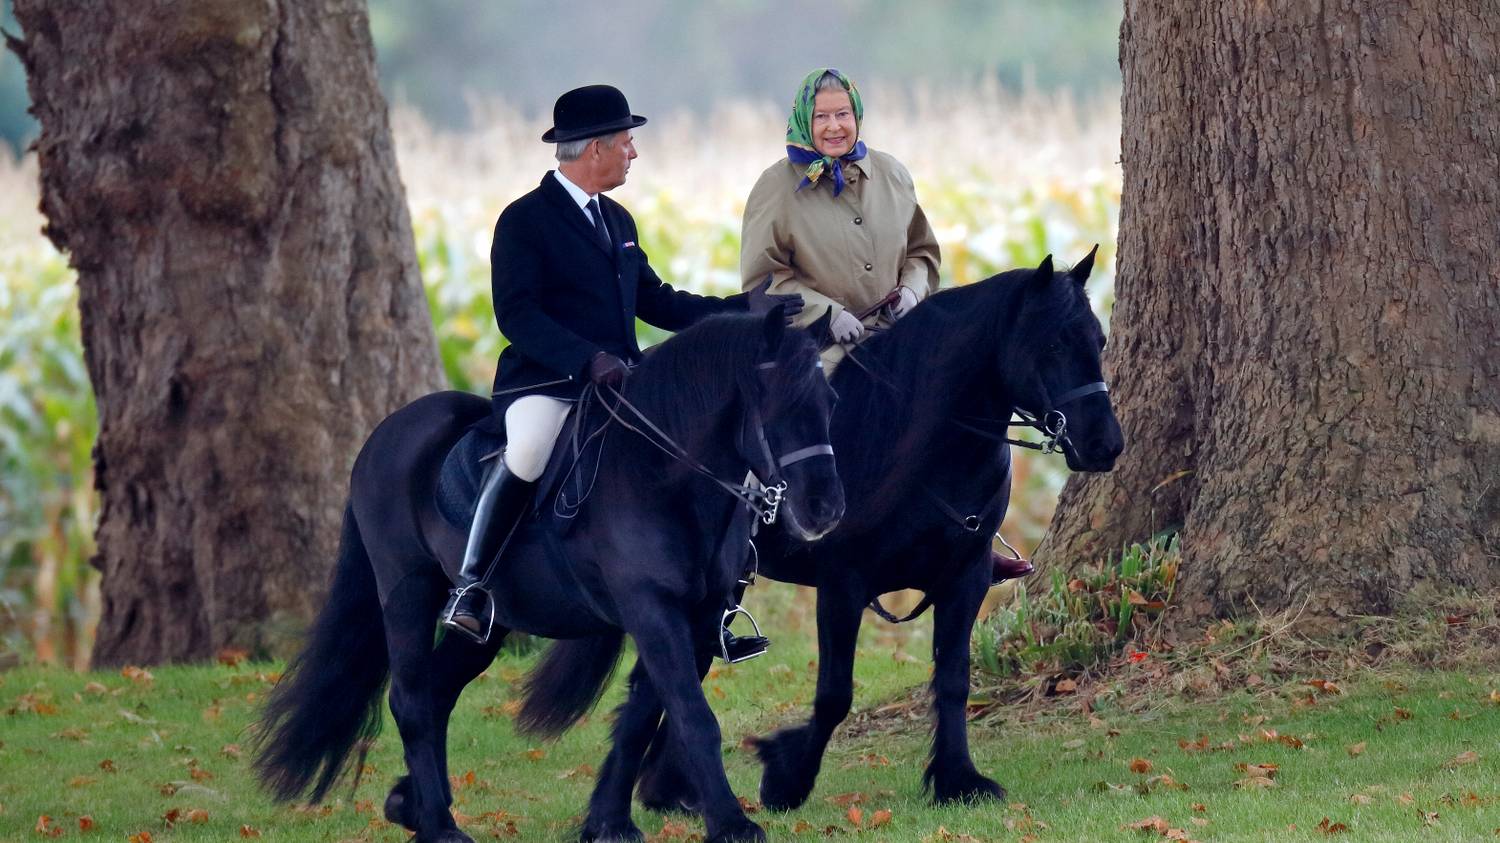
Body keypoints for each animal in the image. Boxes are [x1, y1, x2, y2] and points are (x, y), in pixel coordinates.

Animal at [255, 309, 846, 840]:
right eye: (775, 404)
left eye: (830, 403)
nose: (826, 510)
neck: (661, 476)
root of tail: (385, 434)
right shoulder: (651, 609)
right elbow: (691, 715)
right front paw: (732, 825)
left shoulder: (698, 618)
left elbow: (642, 717)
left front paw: (608, 823)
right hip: (407, 590)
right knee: (411, 698)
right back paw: (441, 828)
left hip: (489, 623)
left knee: (438, 691)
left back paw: (414, 806)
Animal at [624, 250, 1128, 816]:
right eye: (1053, 343)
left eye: (1098, 339)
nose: (1105, 444)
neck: (914, 443)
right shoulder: (842, 584)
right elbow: (834, 694)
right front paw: (787, 777)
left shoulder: (966, 577)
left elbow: (953, 680)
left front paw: (959, 778)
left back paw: (669, 786)